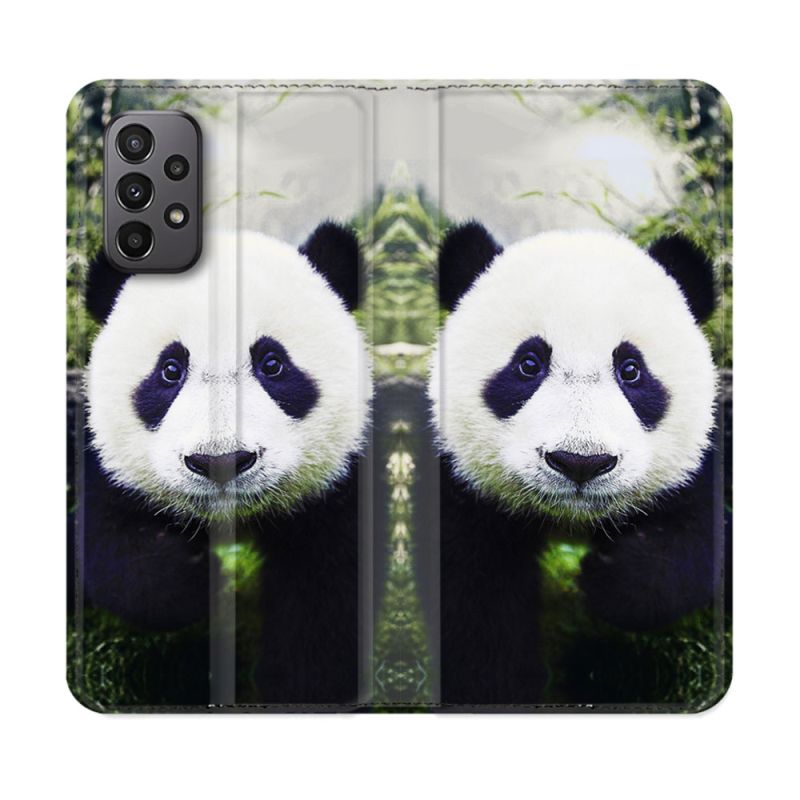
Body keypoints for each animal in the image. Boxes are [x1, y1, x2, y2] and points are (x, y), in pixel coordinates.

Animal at [76, 222, 370, 706]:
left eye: (272, 363)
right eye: (170, 370)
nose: (221, 462)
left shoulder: (337, 491)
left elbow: (326, 607)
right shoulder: (111, 468)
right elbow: (110, 547)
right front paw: (198, 578)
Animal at [429, 222, 728, 705]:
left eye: (631, 370)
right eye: (528, 364)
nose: (580, 463)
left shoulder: (695, 463)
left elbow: (697, 538)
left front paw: (610, 579)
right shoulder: (463, 492)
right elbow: (475, 608)